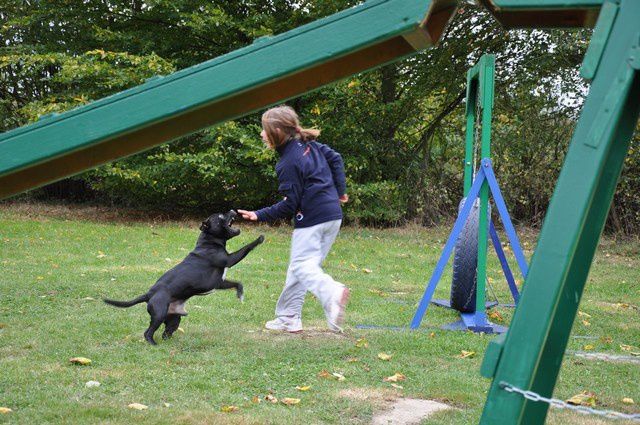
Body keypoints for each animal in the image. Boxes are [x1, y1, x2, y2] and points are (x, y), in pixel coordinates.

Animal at [104, 210, 264, 344]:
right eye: (220, 216)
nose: (232, 210)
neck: (209, 242)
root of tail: (149, 294)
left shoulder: (219, 282)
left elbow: (237, 283)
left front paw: (240, 295)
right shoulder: (230, 260)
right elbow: (247, 247)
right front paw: (259, 238)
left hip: (174, 318)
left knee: (166, 332)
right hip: (159, 314)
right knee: (148, 332)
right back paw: (153, 344)